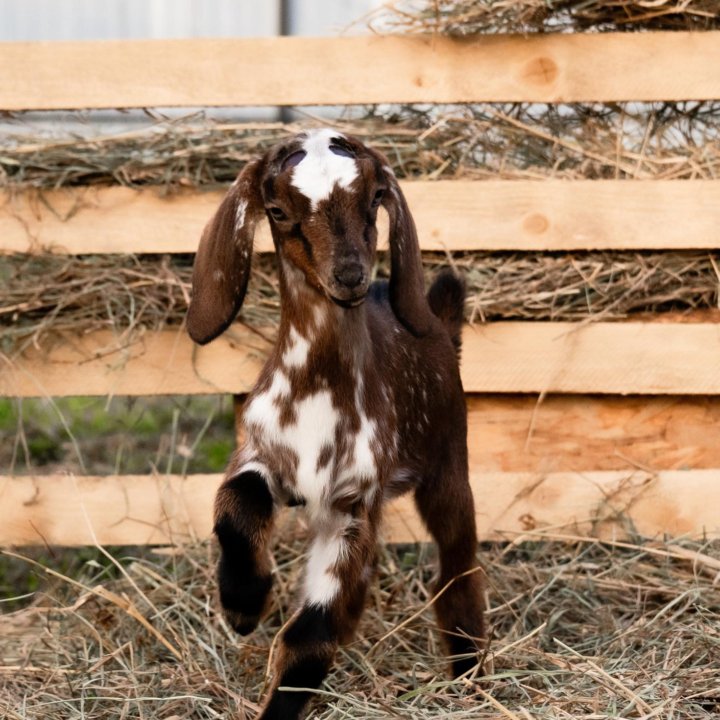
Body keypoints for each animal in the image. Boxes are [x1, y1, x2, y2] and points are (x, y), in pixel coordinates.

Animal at [188, 129, 486, 720]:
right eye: (278, 210)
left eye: (374, 199)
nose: (350, 276)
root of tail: (442, 324)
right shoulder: (261, 454)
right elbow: (236, 506)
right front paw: (243, 603)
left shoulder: (354, 501)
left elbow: (311, 634)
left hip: (448, 463)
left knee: (457, 566)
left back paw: (471, 675)